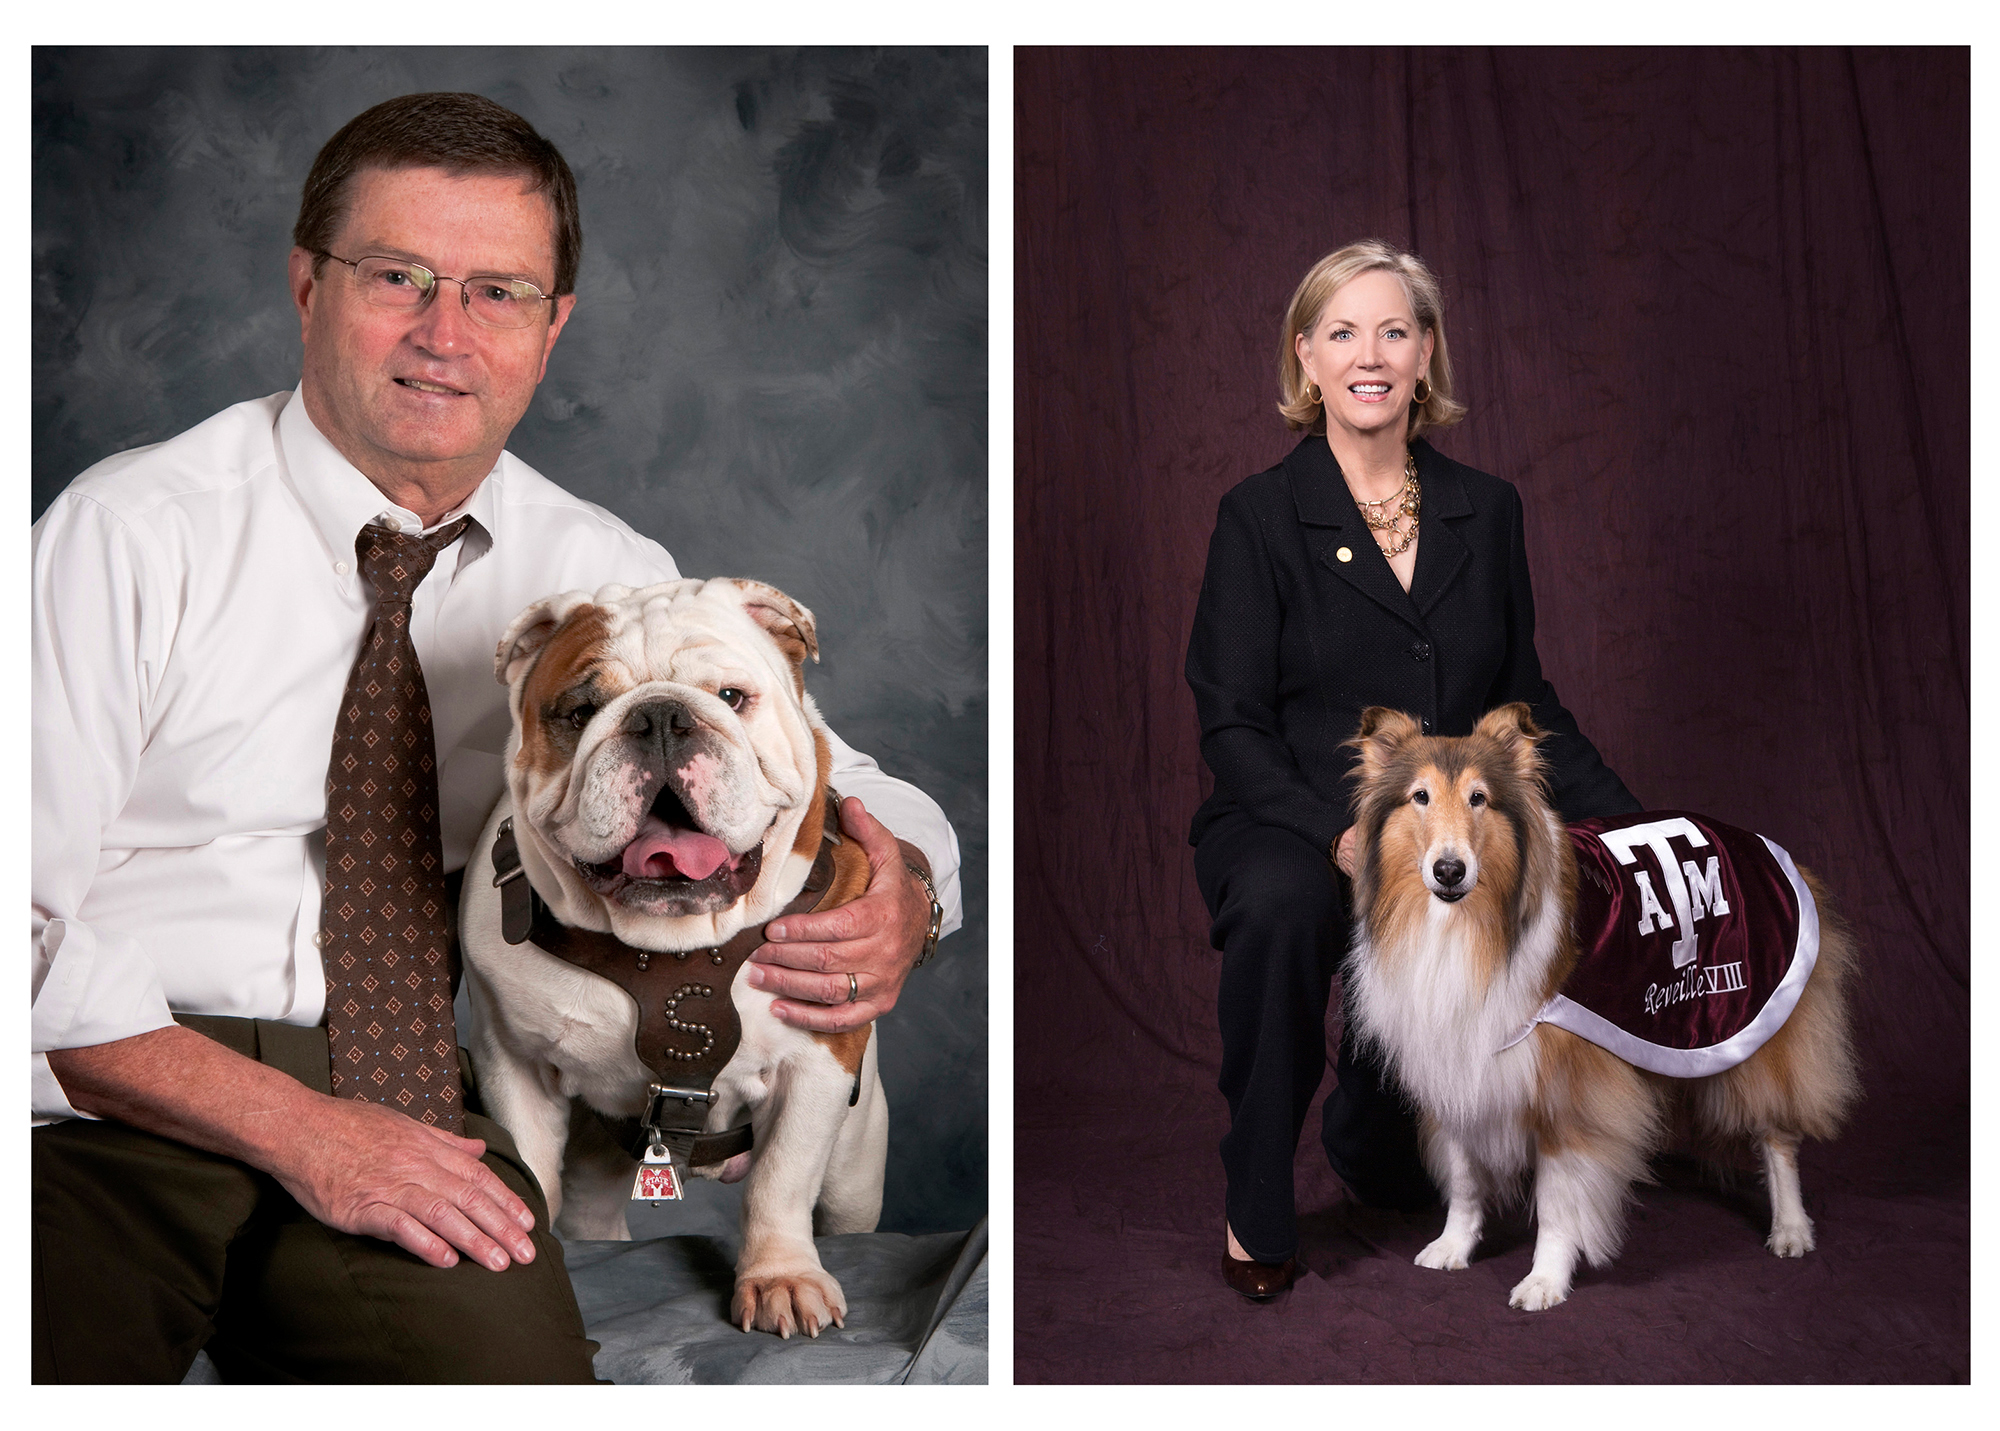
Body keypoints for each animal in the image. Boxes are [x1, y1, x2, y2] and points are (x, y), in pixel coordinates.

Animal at [1344, 703, 1856, 1311]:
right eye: (1419, 796)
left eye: (1479, 798)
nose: (1449, 870)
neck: (1471, 927)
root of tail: (1761, 841)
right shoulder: (1462, 1061)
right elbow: (1466, 1178)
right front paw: (1453, 1246)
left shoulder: (1570, 1087)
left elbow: (1559, 1200)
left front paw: (1544, 1279)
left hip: (1757, 1023)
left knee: (1778, 1134)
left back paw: (1791, 1228)